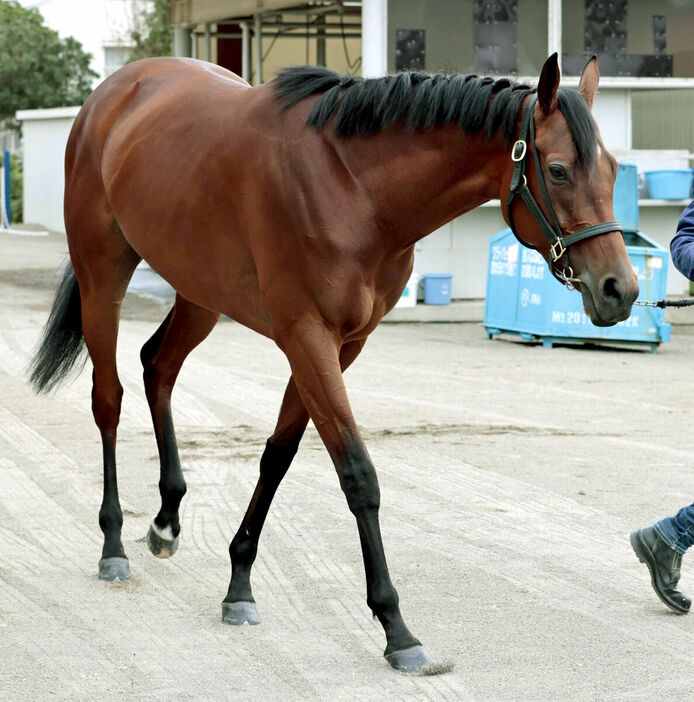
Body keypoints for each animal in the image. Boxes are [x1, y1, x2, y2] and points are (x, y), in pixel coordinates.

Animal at [29, 52, 640, 672]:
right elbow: (357, 474)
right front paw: (397, 628)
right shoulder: (308, 338)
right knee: (109, 399)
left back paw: (166, 520)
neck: (353, 187)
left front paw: (239, 584)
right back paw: (112, 544)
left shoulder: (343, 345)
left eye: (614, 170)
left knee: (158, 366)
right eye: (559, 171)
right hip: (102, 278)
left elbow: (278, 456)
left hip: (200, 294)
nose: (620, 289)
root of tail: (114, 90)